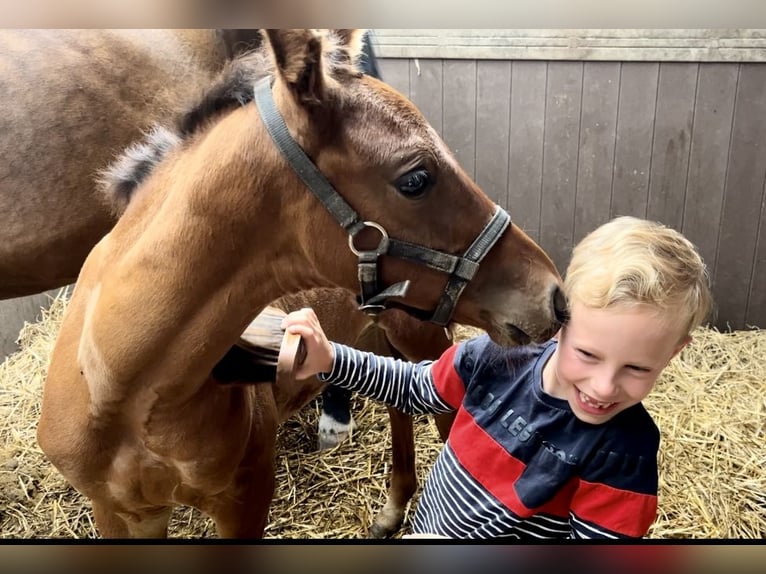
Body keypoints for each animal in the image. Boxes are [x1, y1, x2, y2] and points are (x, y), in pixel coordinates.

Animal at [36, 27, 564, 540]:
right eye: (415, 179)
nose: (554, 296)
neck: (122, 393)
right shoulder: (121, 512)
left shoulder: (246, 497)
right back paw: (393, 509)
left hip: (422, 336)